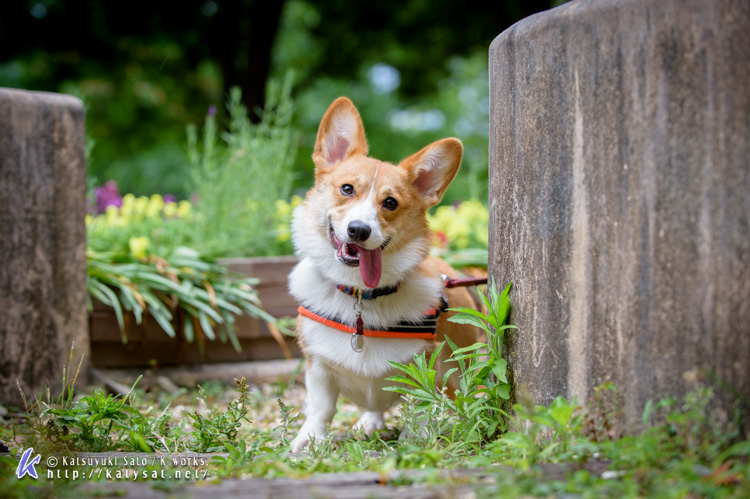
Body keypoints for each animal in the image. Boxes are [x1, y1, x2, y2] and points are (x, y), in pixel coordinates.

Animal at [290, 95, 482, 452]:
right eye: (347, 189)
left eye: (390, 202)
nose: (359, 230)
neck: (361, 295)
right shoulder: (318, 365)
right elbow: (321, 407)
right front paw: (309, 440)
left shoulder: (425, 364)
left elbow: (419, 405)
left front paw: (415, 441)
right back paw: (369, 422)